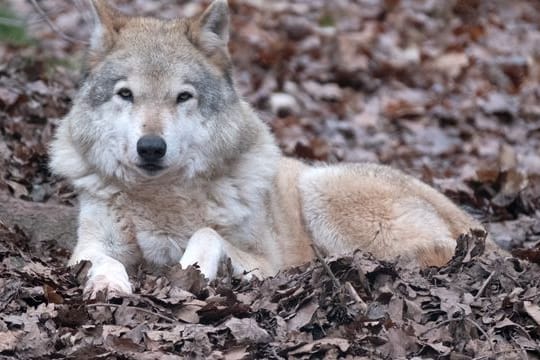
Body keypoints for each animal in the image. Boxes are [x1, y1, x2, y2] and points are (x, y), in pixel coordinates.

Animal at [49, 0, 498, 296]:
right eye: (126, 94)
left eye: (183, 97)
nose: (151, 147)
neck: (161, 198)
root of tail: (471, 222)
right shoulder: (90, 245)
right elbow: (100, 259)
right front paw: (109, 283)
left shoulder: (263, 262)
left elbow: (207, 234)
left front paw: (191, 271)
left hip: (320, 188)